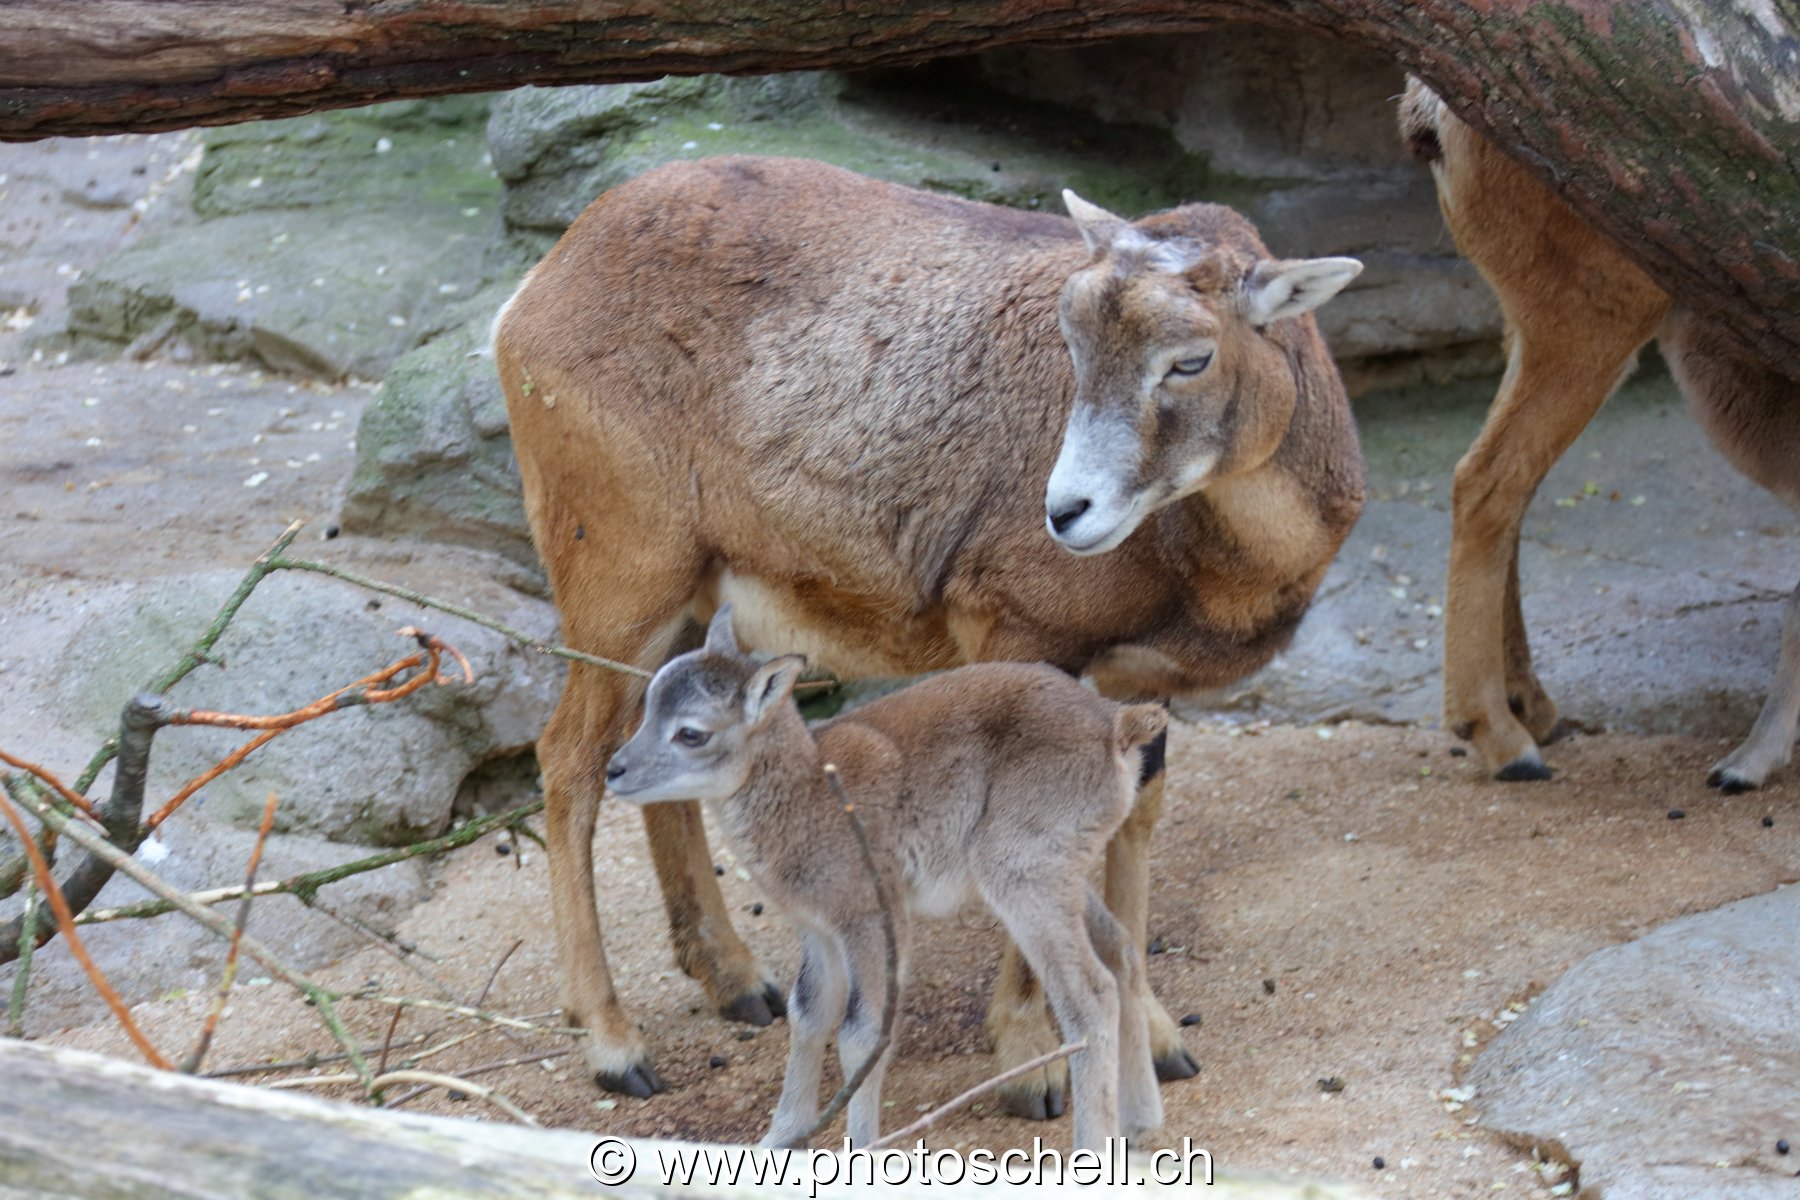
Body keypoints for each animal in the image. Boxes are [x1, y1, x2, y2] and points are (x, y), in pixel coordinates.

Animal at [605, 605, 1167, 1151]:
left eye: (691, 733)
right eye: (649, 708)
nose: (615, 770)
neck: (807, 795)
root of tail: (1117, 726)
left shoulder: (873, 919)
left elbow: (862, 1034)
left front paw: (859, 1149)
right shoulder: (819, 930)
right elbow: (808, 1014)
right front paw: (780, 1138)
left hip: (1023, 875)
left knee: (1090, 996)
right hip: (1057, 870)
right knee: (1121, 952)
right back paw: (1140, 1124)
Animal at [1400, 82, 1800, 788]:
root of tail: (1430, 115)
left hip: (1535, 323)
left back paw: (1530, 705)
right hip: (1592, 320)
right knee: (1487, 479)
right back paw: (1503, 739)